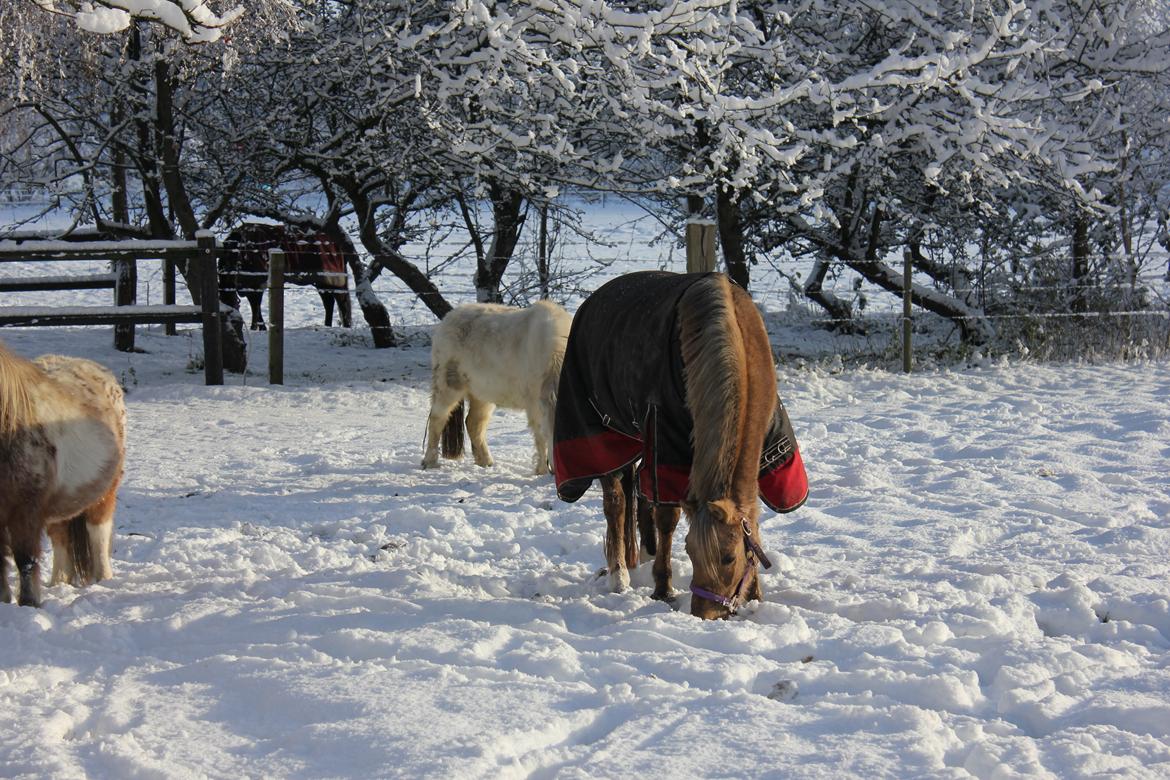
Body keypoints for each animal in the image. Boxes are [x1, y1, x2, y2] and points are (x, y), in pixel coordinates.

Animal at [0, 342, 127, 607]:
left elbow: (25, 559)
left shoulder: (26, 510)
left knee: (98, 535)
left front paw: (29, 603)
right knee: (60, 540)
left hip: (104, 494)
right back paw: (58, 583)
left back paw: (103, 580)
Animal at [220, 223, 354, 330]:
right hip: (321, 282)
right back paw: (327, 325)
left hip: (333, 279)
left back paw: (346, 326)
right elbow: (256, 308)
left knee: (342, 302)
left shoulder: (256, 284)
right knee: (329, 303)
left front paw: (256, 328)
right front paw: (261, 328)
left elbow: (255, 307)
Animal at [422, 299, 572, 476]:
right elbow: (539, 436)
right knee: (437, 418)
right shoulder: (534, 403)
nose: (558, 470)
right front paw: (541, 470)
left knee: (474, 423)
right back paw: (429, 462)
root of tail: (448, 318)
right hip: (448, 385)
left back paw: (485, 462)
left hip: (482, 394)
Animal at [553, 271, 808, 619]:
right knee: (616, 502)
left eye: (729, 558)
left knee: (638, 495)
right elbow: (668, 518)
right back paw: (620, 575)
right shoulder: (666, 442)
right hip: (604, 436)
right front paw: (663, 589)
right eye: (689, 550)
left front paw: (756, 594)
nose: (704, 613)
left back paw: (643, 555)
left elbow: (751, 519)